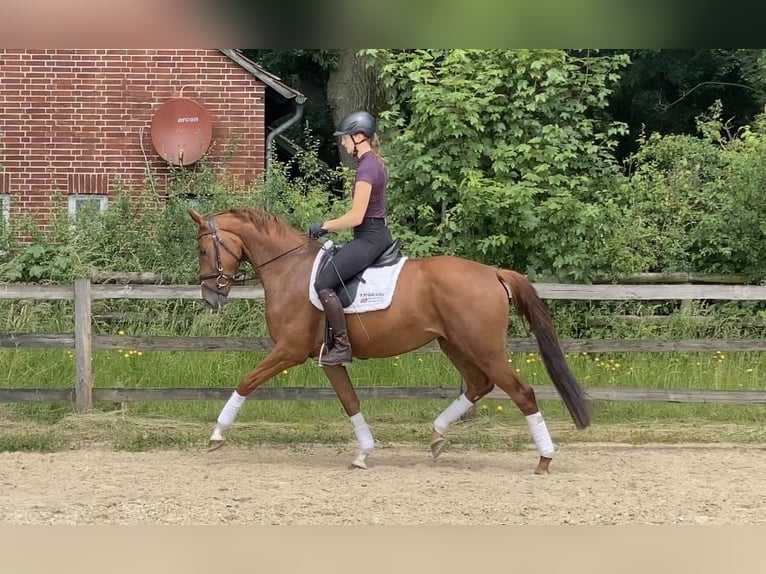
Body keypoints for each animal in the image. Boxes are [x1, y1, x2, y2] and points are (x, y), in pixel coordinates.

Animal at [189, 209, 592, 474]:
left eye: (204, 250)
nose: (211, 298)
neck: (290, 270)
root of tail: (493, 272)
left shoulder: (289, 350)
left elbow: (247, 381)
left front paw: (216, 434)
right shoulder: (327, 358)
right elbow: (350, 401)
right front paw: (364, 453)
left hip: (484, 348)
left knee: (521, 392)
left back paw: (544, 459)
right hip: (455, 345)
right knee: (479, 385)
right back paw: (437, 436)